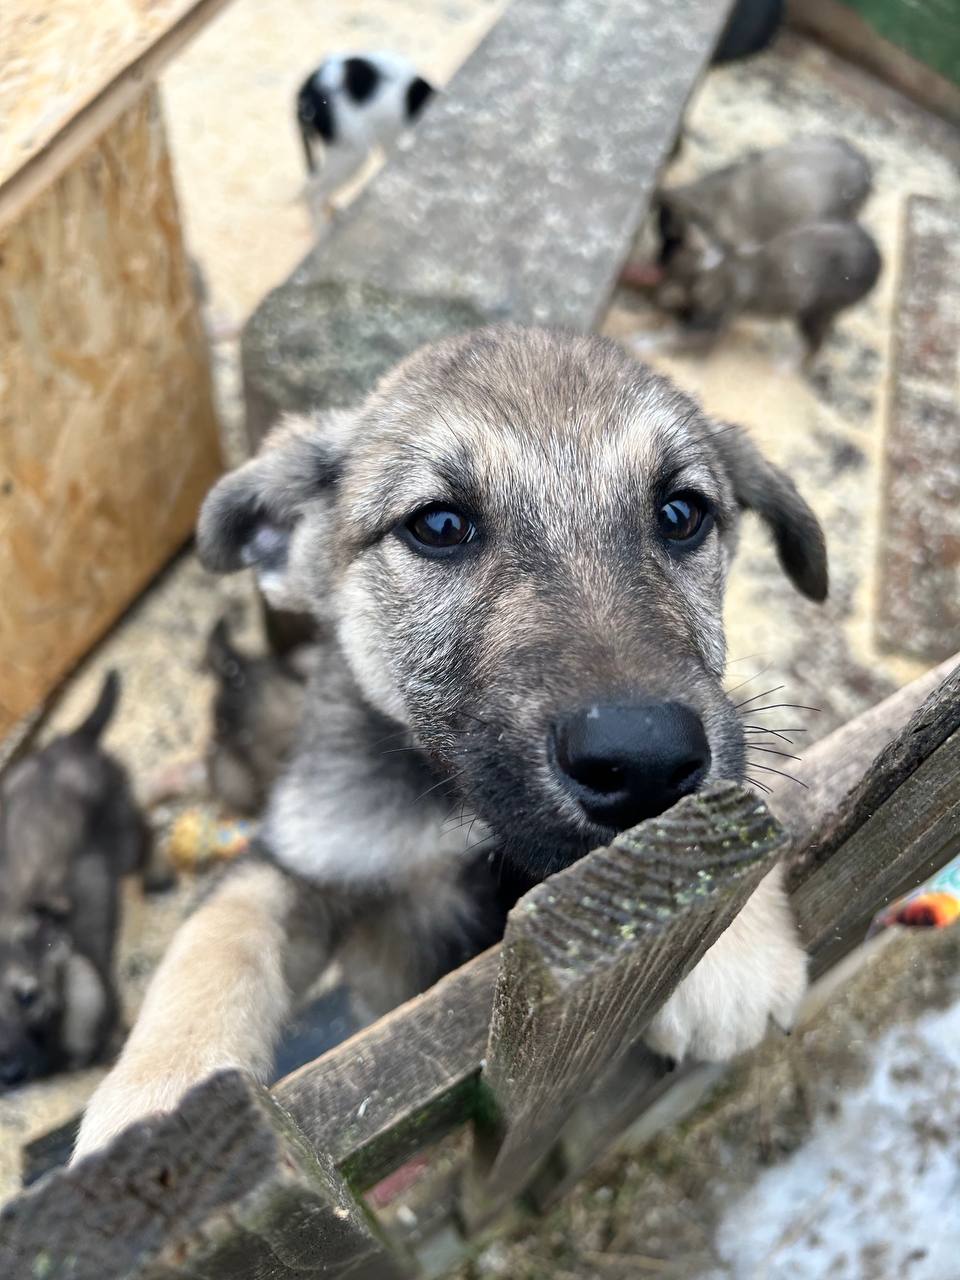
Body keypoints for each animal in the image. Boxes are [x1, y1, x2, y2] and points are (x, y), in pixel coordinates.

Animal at [77, 327, 829, 1162]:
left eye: (681, 512)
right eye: (438, 526)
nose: (644, 759)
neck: (451, 806)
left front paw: (730, 947)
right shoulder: (300, 861)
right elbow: (215, 936)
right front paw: (164, 1098)